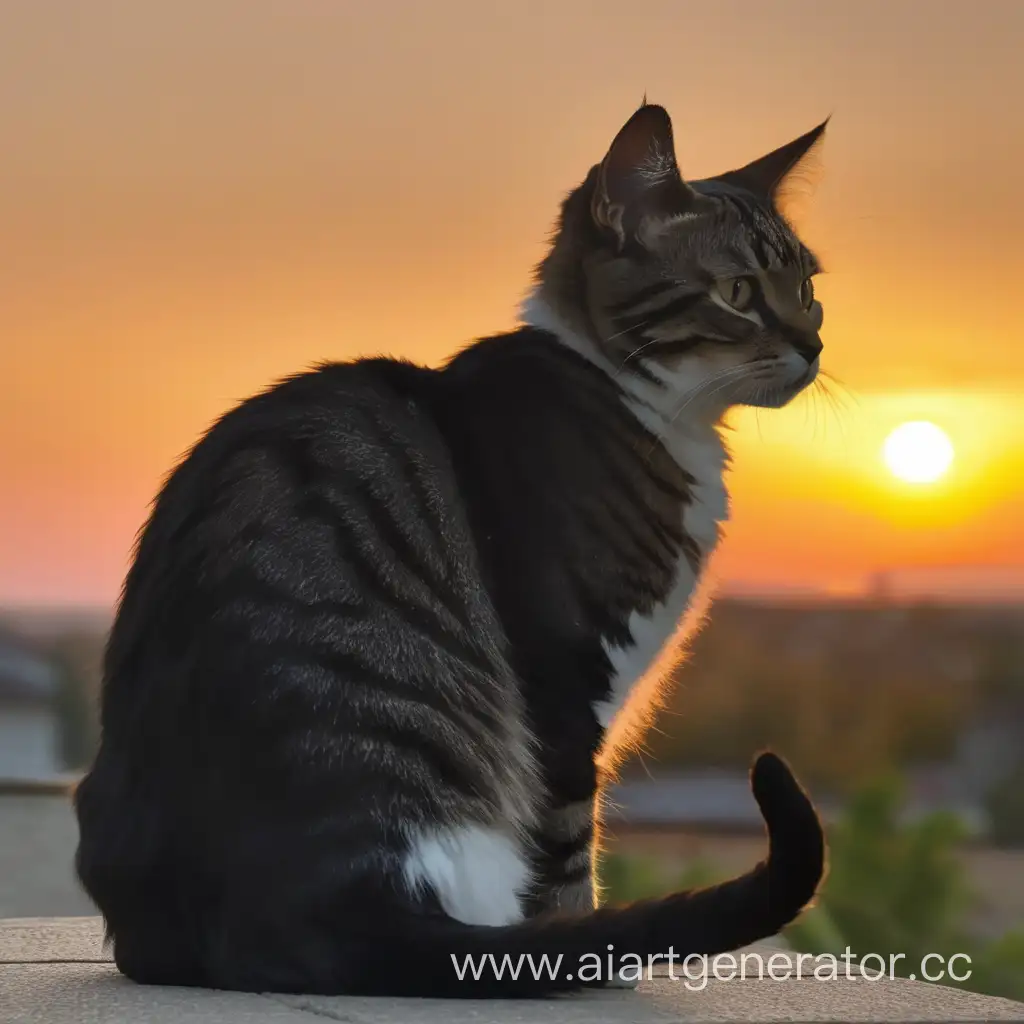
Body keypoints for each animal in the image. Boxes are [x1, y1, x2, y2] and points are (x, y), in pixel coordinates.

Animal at [75, 101, 831, 991]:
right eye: (740, 292)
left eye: (809, 290)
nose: (815, 344)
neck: (650, 411)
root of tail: (305, 915)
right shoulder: (566, 675)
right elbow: (567, 850)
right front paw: (590, 948)